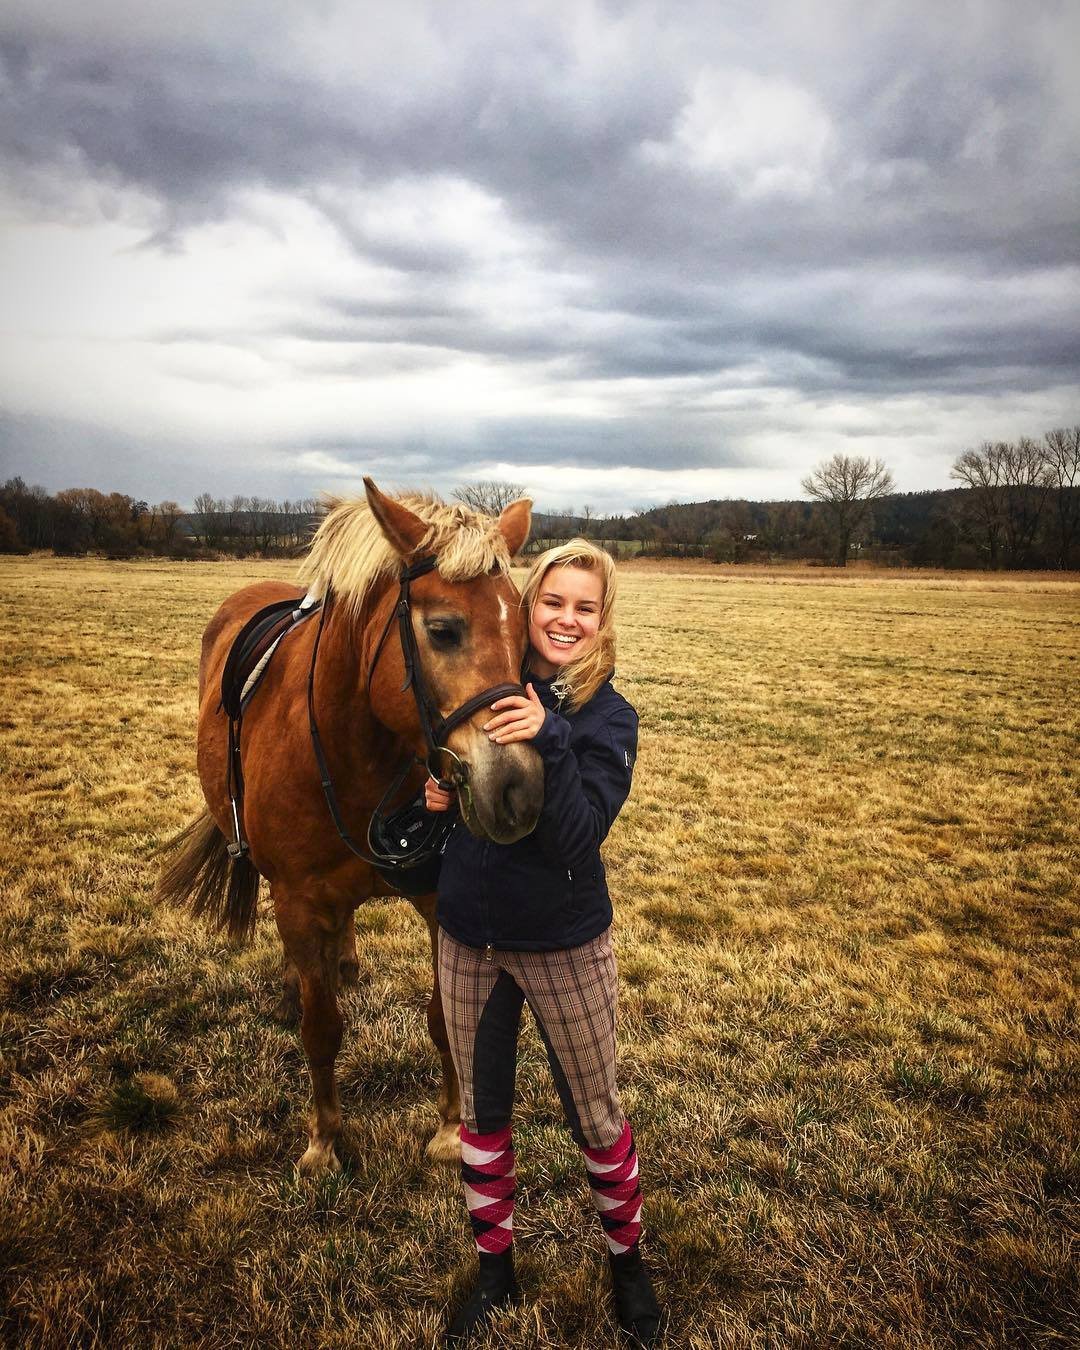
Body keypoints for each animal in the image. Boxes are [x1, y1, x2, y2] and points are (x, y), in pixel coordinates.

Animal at [155, 483, 545, 1171]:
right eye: (443, 630)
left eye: (524, 633)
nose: (517, 791)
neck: (353, 753)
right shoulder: (298, 901)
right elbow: (321, 1029)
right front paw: (323, 1142)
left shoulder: (437, 899)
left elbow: (443, 1017)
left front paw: (450, 1128)